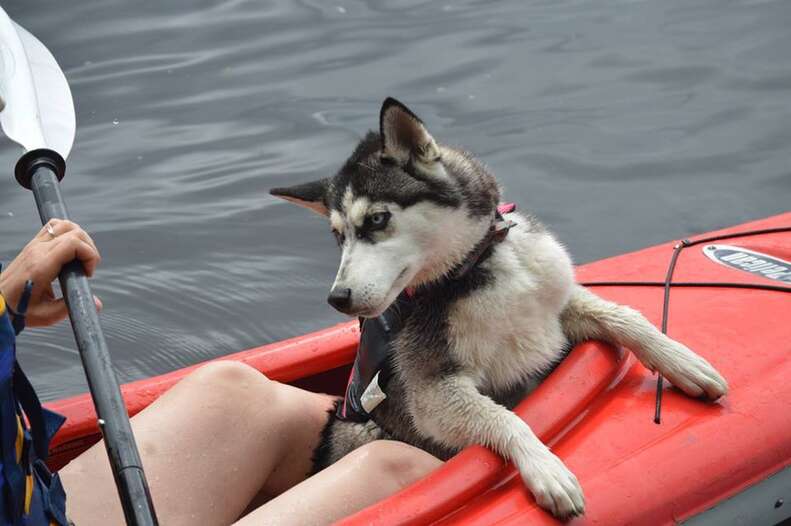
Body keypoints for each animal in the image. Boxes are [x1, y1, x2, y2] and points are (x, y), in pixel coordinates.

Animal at [272, 98, 732, 520]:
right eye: (338, 236)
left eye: (377, 219)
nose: (338, 298)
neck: (477, 267)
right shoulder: (432, 391)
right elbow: (504, 418)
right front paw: (545, 467)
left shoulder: (556, 305)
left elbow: (625, 317)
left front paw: (682, 362)